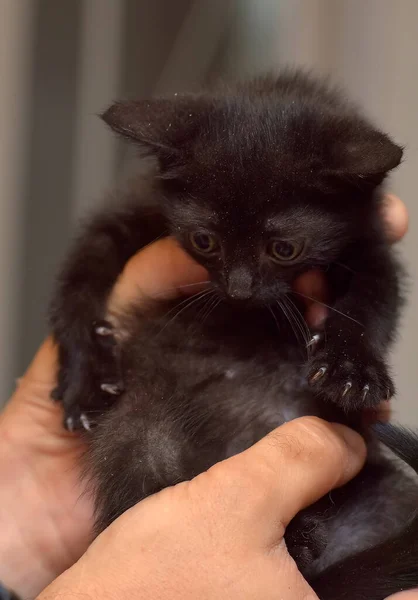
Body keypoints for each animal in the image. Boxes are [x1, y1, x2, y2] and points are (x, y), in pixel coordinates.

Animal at [49, 74, 418, 600]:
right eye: (204, 241)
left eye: (284, 249)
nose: (239, 288)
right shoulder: (134, 207)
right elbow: (79, 276)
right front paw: (85, 379)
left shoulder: (369, 240)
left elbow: (374, 298)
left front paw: (352, 368)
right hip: (142, 427)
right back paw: (298, 537)